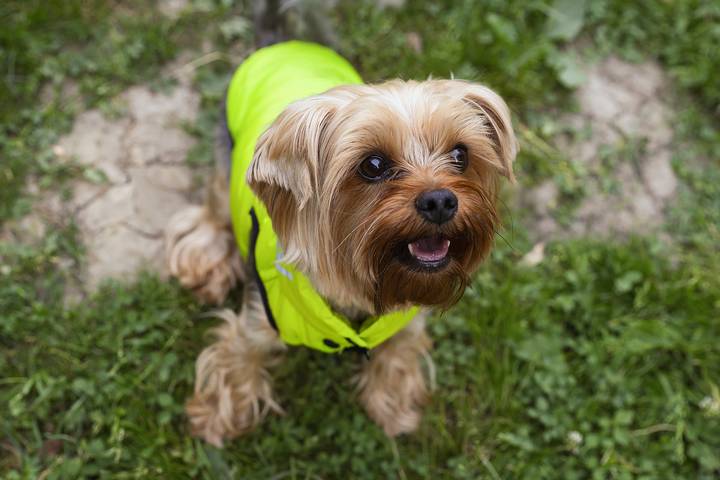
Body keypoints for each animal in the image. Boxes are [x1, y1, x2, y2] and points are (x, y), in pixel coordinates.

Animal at [166, 5, 516, 448]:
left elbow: (400, 353)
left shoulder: (407, 316)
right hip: (223, 159)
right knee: (213, 208)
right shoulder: (256, 320)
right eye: (373, 164)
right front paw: (216, 420)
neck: (359, 286)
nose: (440, 200)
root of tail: (280, 40)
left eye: (460, 154)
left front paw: (394, 409)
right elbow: (238, 358)